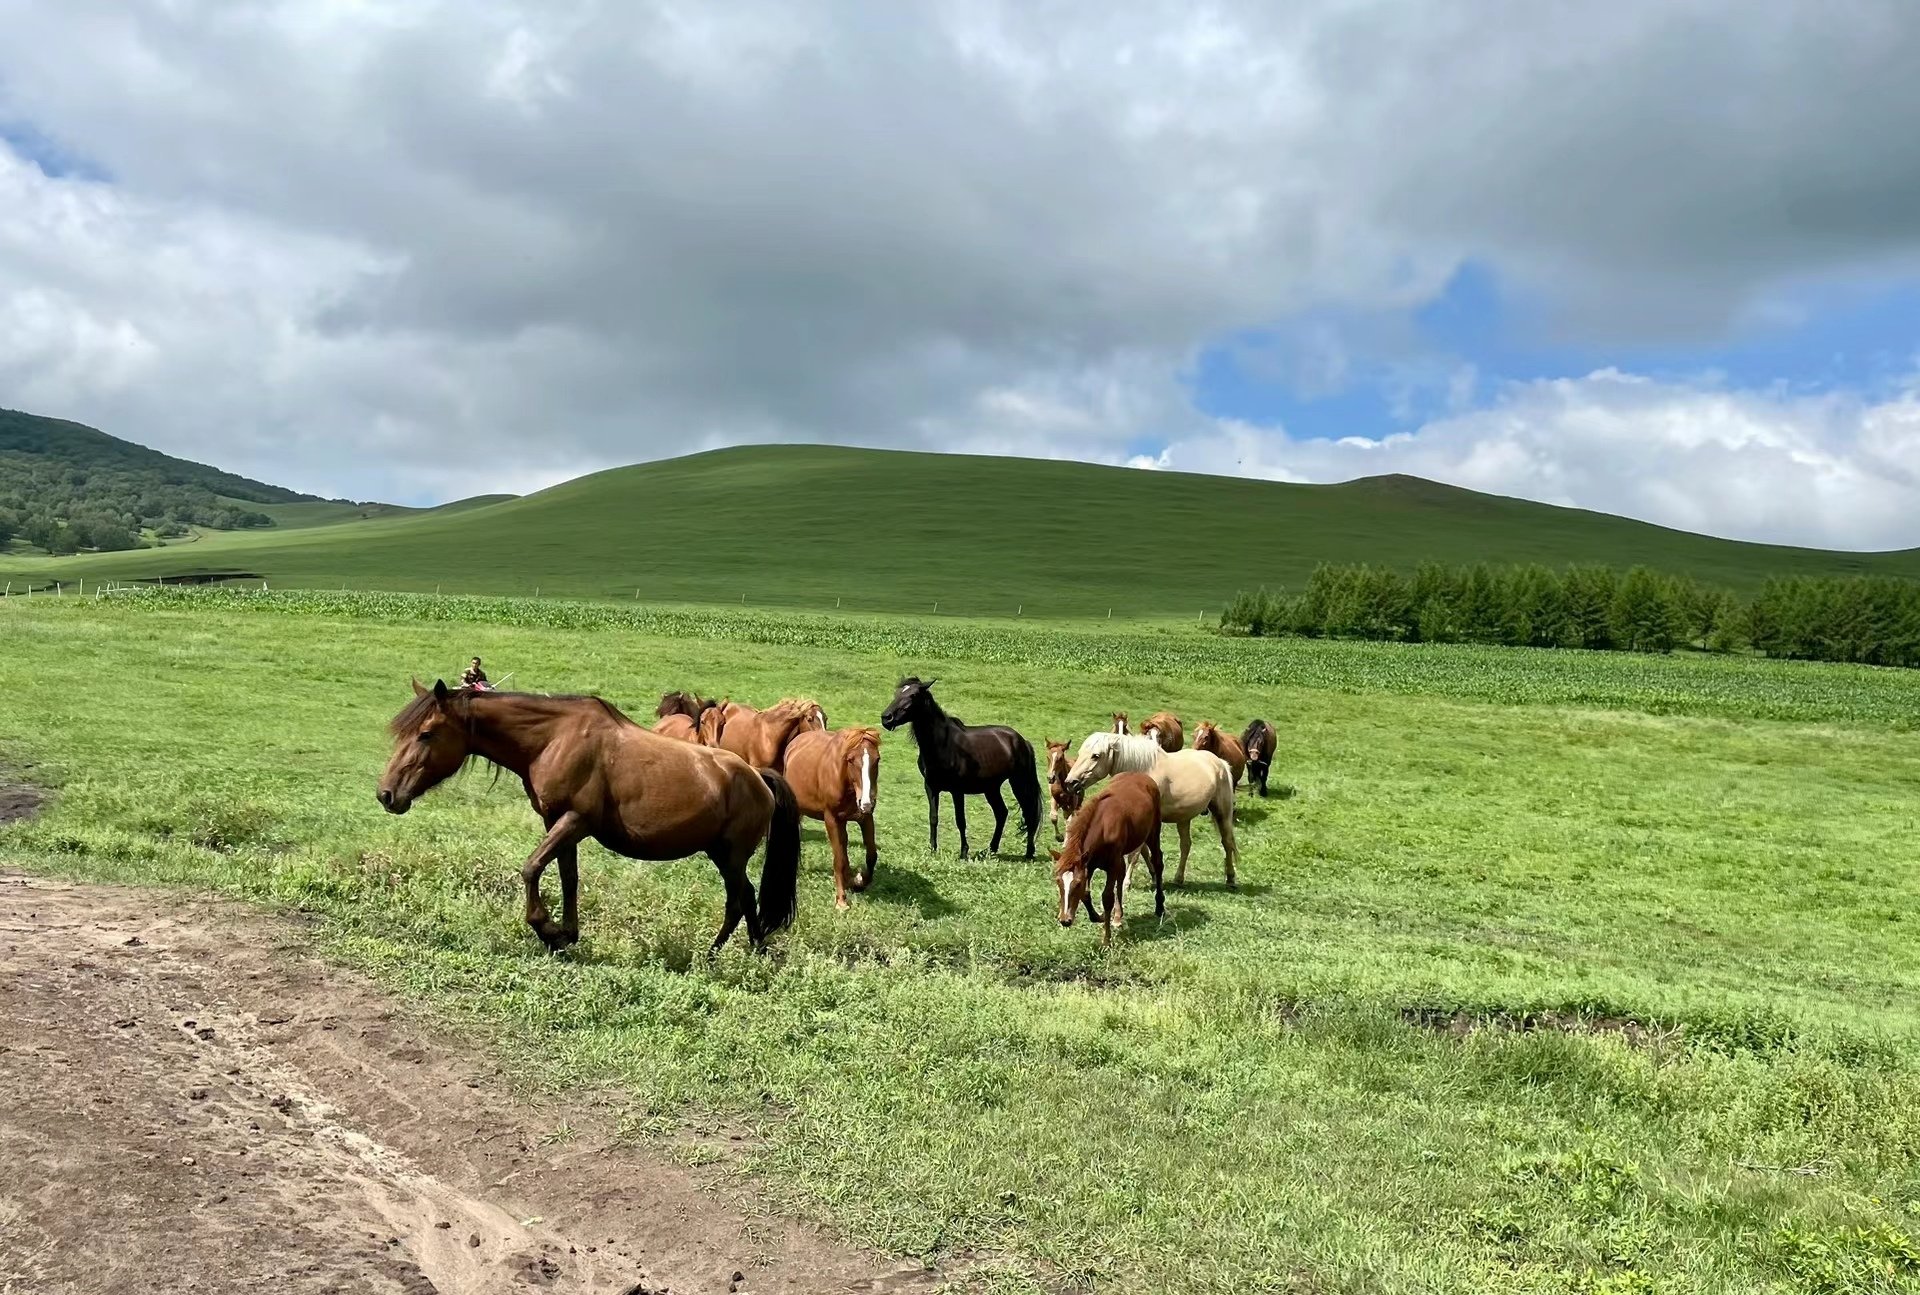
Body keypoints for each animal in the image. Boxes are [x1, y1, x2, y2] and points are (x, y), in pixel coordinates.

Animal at [378, 680, 798, 952]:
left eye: (426, 733)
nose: (387, 794)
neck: (553, 739)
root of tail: (757, 777)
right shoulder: (556, 823)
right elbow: (568, 877)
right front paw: (567, 934)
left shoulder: (575, 821)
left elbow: (531, 868)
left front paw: (547, 930)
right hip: (721, 854)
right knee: (745, 898)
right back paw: (748, 952)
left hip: (731, 856)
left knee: (739, 901)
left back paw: (721, 956)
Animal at [779, 726, 883, 906]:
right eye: (850, 760)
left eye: (877, 759)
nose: (867, 802)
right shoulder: (832, 819)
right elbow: (839, 858)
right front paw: (841, 900)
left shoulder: (865, 818)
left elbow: (871, 855)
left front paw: (859, 882)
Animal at [879, 676, 1044, 856]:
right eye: (897, 693)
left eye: (913, 695)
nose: (886, 718)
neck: (942, 745)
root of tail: (1022, 741)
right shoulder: (931, 787)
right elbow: (933, 818)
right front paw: (932, 849)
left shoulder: (957, 790)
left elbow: (960, 820)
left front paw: (964, 852)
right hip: (991, 787)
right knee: (1001, 813)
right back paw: (990, 850)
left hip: (1019, 782)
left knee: (1029, 813)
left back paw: (1029, 853)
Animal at [1052, 772, 1167, 941]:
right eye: (1058, 881)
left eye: (1077, 884)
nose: (1065, 920)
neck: (1103, 828)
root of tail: (1142, 775)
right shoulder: (1088, 864)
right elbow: (1086, 895)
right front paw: (1099, 917)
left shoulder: (1111, 864)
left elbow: (1107, 897)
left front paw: (1106, 939)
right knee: (1122, 874)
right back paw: (1118, 916)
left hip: (1153, 832)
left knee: (1157, 862)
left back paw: (1159, 907)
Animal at [1059, 730, 1236, 883]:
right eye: (1080, 753)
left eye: (1096, 756)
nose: (1070, 782)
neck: (1142, 773)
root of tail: (1220, 763)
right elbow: (1143, 851)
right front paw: (1154, 876)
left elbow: (1135, 853)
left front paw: (1127, 883)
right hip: (1184, 818)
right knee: (1186, 846)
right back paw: (1179, 878)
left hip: (1223, 813)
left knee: (1227, 842)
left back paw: (1231, 878)